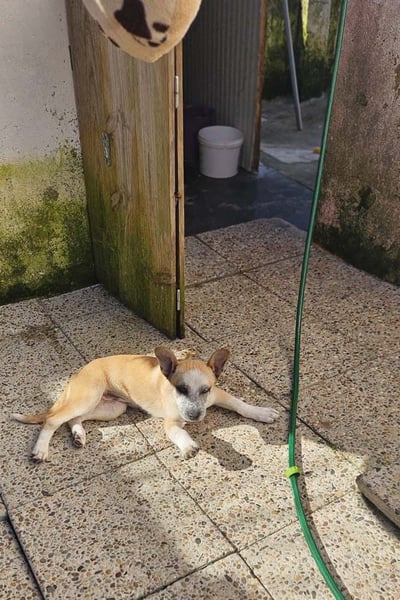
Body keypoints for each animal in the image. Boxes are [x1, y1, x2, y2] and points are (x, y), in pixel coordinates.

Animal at [13, 346, 279, 462]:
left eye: (205, 389)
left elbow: (240, 404)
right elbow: (178, 433)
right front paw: (188, 445)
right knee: (52, 419)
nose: (194, 416)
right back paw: (41, 450)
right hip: (87, 397)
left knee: (73, 420)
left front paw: (262, 413)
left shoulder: (218, 394)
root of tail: (79, 372)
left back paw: (78, 435)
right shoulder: (171, 424)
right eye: (181, 389)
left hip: (110, 407)